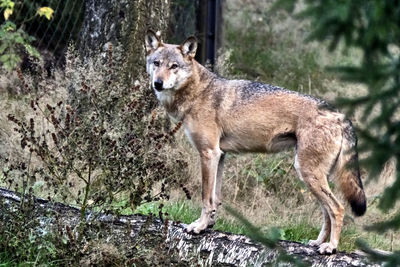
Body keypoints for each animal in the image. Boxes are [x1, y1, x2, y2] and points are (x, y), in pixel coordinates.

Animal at [145, 30, 368, 254]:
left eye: (174, 66)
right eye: (156, 63)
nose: (158, 83)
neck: (197, 92)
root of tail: (340, 115)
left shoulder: (209, 153)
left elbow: (205, 197)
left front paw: (198, 227)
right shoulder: (220, 156)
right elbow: (216, 198)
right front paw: (209, 225)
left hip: (307, 173)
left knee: (338, 209)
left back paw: (331, 247)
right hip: (313, 177)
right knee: (326, 212)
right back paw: (317, 243)